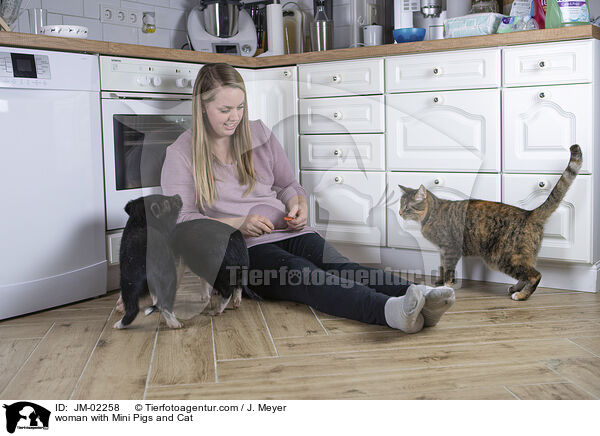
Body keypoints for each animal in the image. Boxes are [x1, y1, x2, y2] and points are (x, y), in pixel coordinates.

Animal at [398, 144, 580, 300]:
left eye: (407, 207)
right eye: (400, 204)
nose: (399, 213)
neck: (432, 213)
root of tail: (529, 213)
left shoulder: (450, 248)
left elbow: (448, 269)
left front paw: (446, 285)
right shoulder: (442, 250)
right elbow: (442, 267)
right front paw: (438, 281)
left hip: (502, 257)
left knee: (535, 275)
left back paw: (521, 295)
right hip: (518, 257)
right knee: (526, 273)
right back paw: (515, 288)